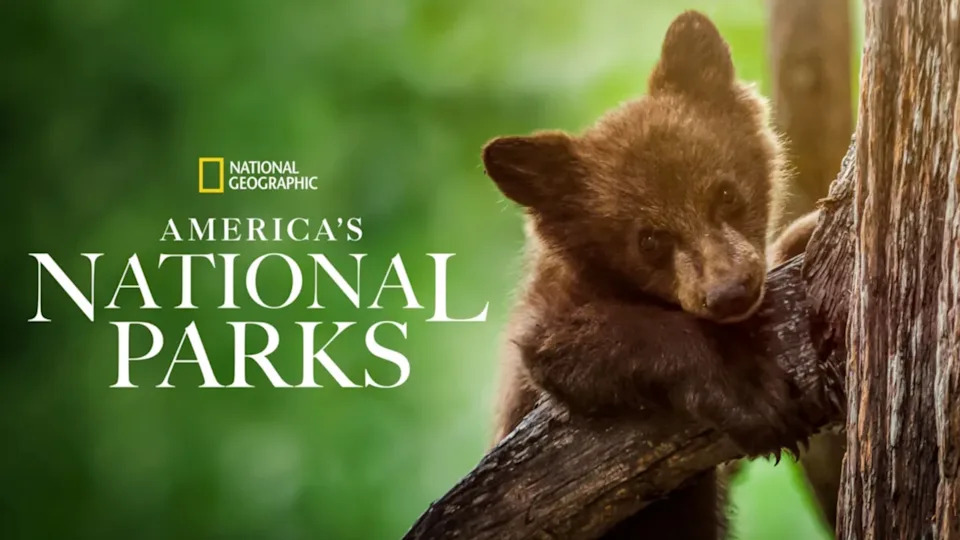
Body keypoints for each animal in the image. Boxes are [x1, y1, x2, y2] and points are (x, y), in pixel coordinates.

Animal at [481, 11, 809, 539]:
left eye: (725, 194)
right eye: (650, 240)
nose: (730, 293)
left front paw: (807, 230)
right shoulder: (548, 317)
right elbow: (584, 339)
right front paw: (753, 395)